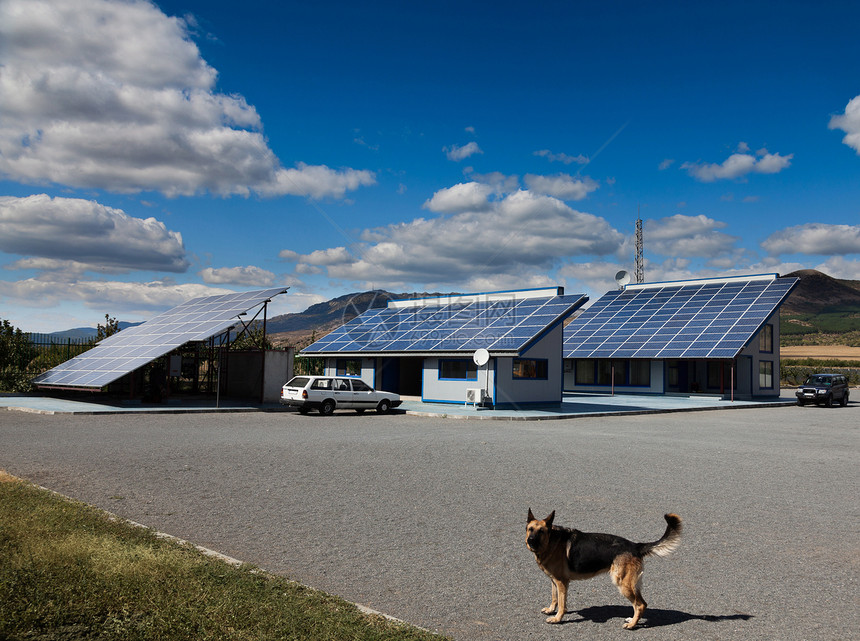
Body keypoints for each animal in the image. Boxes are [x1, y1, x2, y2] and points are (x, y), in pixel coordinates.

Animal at [528, 510, 680, 632]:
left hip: (623, 584)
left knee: (640, 604)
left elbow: (561, 603)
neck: (551, 540)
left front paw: (557, 618)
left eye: (541, 531)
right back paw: (631, 619)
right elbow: (554, 597)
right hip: (631, 585)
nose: (530, 540)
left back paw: (632, 625)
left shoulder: (561, 583)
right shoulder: (554, 581)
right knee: (640, 604)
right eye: (530, 529)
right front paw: (550, 610)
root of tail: (635, 546)